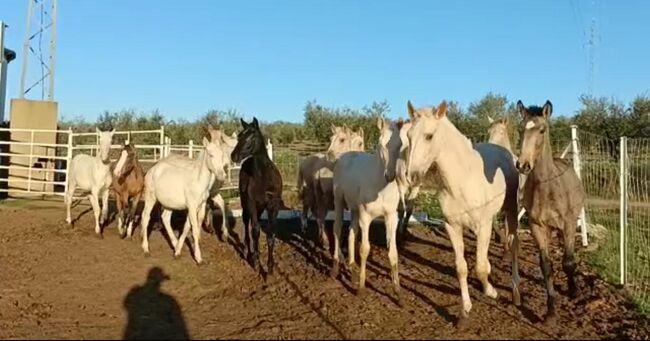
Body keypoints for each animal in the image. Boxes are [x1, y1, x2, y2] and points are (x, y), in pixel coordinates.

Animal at [232, 117, 284, 276]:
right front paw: (256, 263)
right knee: (247, 225)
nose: (233, 156)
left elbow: (270, 234)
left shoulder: (273, 205)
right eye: (239, 136)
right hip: (245, 204)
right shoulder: (252, 204)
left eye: (252, 136)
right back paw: (250, 253)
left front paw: (270, 266)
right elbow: (255, 230)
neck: (264, 178)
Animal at [332, 117, 402, 302]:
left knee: (351, 231)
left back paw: (351, 267)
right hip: (339, 200)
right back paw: (335, 268)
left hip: (355, 208)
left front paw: (397, 291)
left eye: (400, 144)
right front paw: (361, 288)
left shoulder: (391, 217)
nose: (390, 175)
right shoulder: (366, 217)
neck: (381, 187)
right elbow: (364, 249)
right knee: (337, 229)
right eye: (380, 144)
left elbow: (393, 252)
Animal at [402, 99, 520, 320]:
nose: (411, 176)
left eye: (429, 136)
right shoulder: (453, 227)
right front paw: (465, 307)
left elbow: (480, 268)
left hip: (511, 209)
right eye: (408, 136)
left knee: (513, 243)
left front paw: (491, 291)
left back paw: (516, 291)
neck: (462, 179)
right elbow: (461, 268)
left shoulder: (483, 226)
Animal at [512, 99, 584, 322]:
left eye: (542, 130)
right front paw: (551, 309)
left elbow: (568, 262)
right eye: (520, 129)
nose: (523, 165)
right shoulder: (538, 227)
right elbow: (546, 266)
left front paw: (573, 291)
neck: (548, 188)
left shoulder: (569, 224)